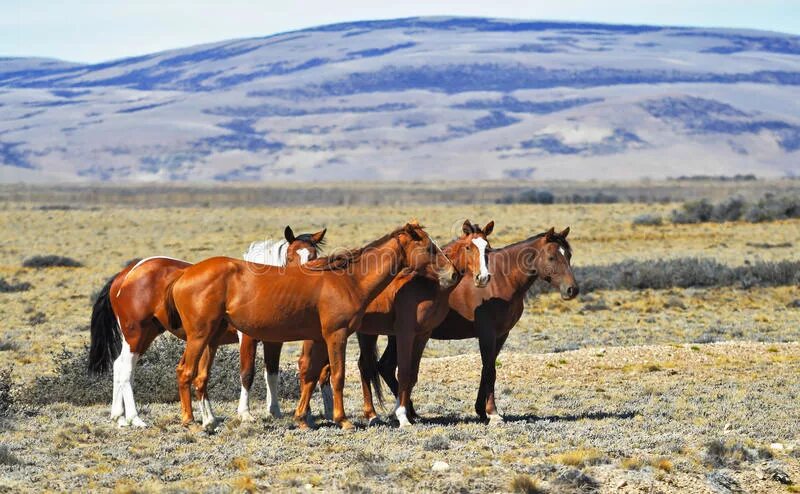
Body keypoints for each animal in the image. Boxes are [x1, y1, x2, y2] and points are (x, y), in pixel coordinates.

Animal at [88, 226, 324, 426]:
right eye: (291, 256)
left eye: (313, 256)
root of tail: (126, 275)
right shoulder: (247, 338)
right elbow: (247, 373)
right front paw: (245, 413)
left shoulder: (274, 341)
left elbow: (272, 374)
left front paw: (274, 411)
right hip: (136, 334)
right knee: (126, 369)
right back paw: (135, 418)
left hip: (146, 334)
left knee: (119, 365)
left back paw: (119, 417)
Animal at [167, 223, 456, 428]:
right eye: (430, 248)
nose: (453, 274)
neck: (348, 280)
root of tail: (184, 274)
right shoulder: (336, 335)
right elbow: (338, 375)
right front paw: (342, 420)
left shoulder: (317, 339)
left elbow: (310, 375)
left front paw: (302, 418)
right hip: (200, 336)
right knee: (185, 372)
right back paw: (190, 421)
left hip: (211, 338)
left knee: (200, 376)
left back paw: (209, 420)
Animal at [296, 218, 494, 426]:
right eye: (468, 247)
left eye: (487, 248)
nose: (482, 277)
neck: (428, 286)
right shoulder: (405, 333)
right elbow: (404, 371)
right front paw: (402, 415)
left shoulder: (423, 335)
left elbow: (413, 374)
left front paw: (407, 413)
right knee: (307, 365)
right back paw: (309, 415)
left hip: (366, 333)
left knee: (362, 366)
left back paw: (371, 414)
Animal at [374, 226, 576, 422]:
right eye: (551, 257)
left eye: (569, 255)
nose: (572, 289)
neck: (501, 280)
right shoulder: (487, 334)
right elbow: (489, 371)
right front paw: (493, 413)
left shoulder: (501, 335)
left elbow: (487, 369)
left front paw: (481, 410)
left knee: (386, 366)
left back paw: (410, 411)